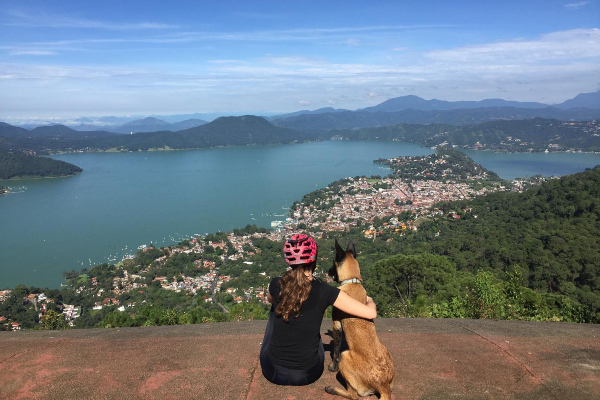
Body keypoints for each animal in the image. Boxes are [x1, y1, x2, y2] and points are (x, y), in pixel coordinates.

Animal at [326, 241, 396, 400]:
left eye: (333, 263)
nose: (327, 271)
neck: (353, 281)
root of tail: (383, 385)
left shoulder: (336, 325)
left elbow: (335, 351)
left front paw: (332, 367)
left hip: (345, 356)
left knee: (353, 395)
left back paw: (332, 389)